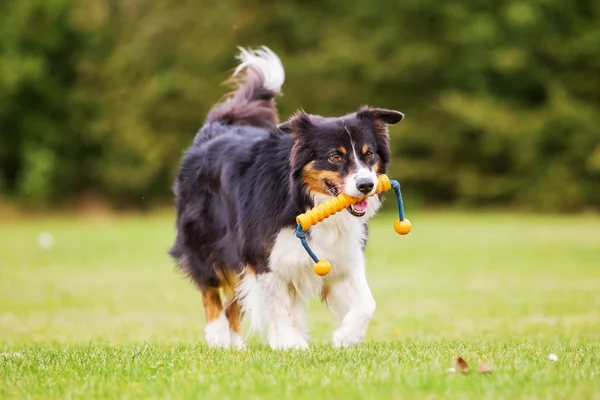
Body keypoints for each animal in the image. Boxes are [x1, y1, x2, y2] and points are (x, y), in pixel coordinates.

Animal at [169, 46, 404, 346]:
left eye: (369, 154)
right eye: (335, 156)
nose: (366, 185)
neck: (304, 198)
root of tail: (216, 127)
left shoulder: (342, 256)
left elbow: (367, 303)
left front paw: (346, 336)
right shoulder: (264, 257)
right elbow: (281, 307)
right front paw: (291, 345)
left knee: (233, 304)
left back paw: (236, 347)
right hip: (209, 240)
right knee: (211, 292)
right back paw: (217, 336)